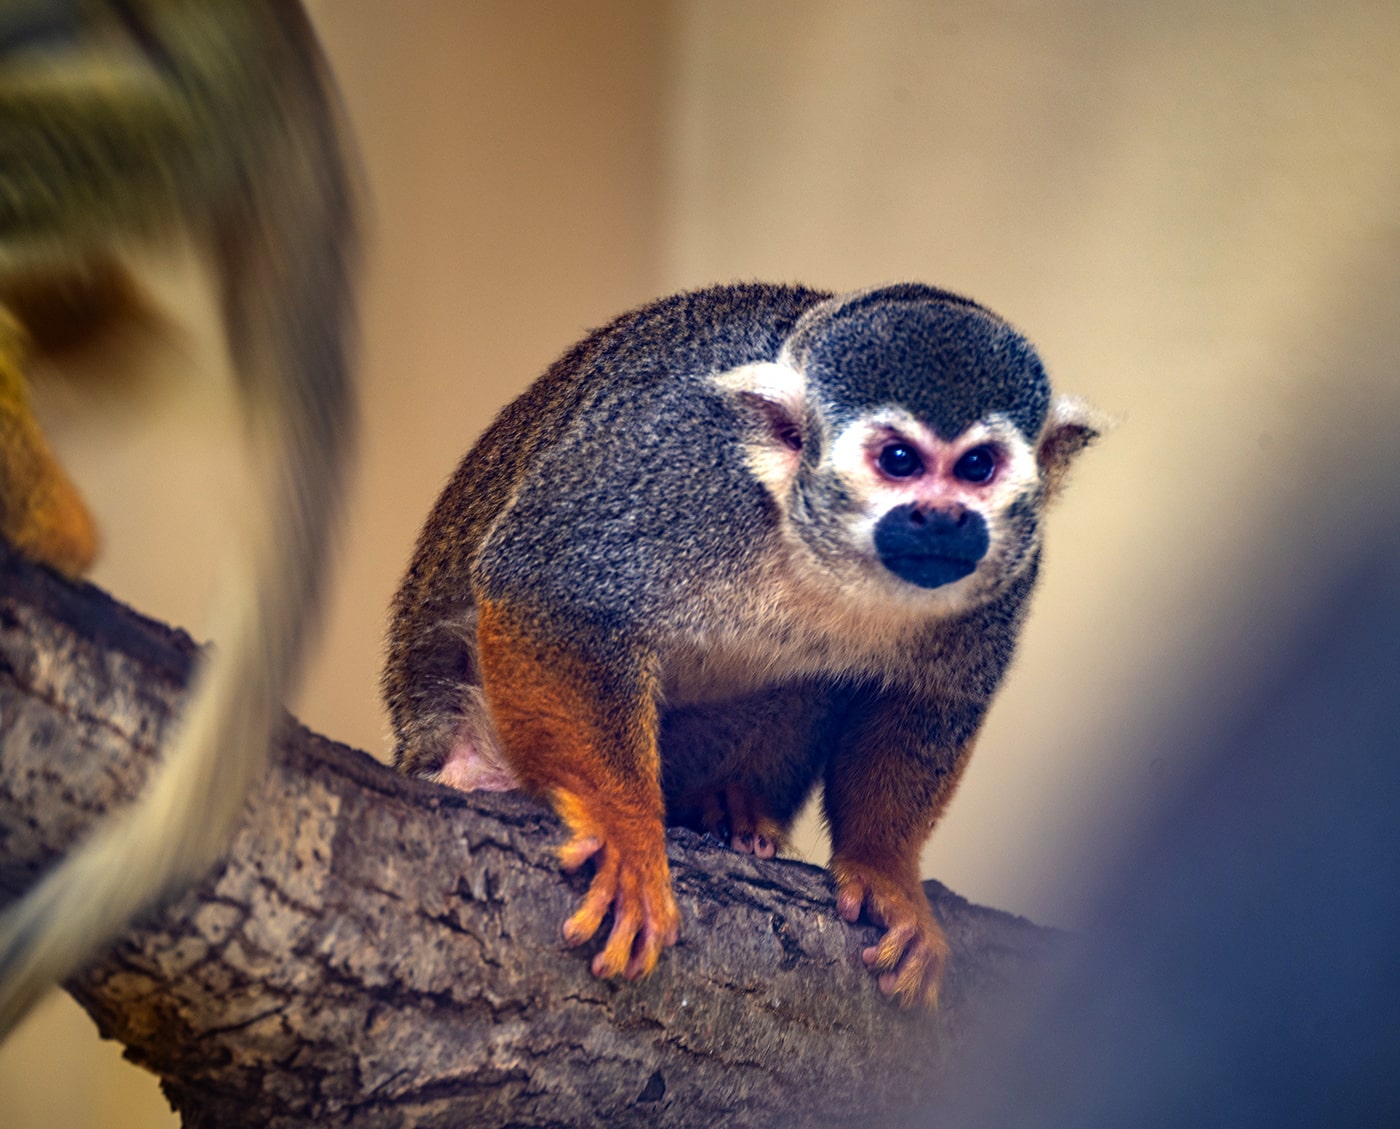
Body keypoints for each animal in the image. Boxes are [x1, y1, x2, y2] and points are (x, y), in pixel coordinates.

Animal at [386, 282, 1103, 1008]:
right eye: (898, 461)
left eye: (979, 466)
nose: (944, 518)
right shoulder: (676, 466)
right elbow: (552, 590)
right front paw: (623, 828)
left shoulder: (1014, 568)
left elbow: (928, 700)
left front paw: (884, 868)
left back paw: (729, 806)